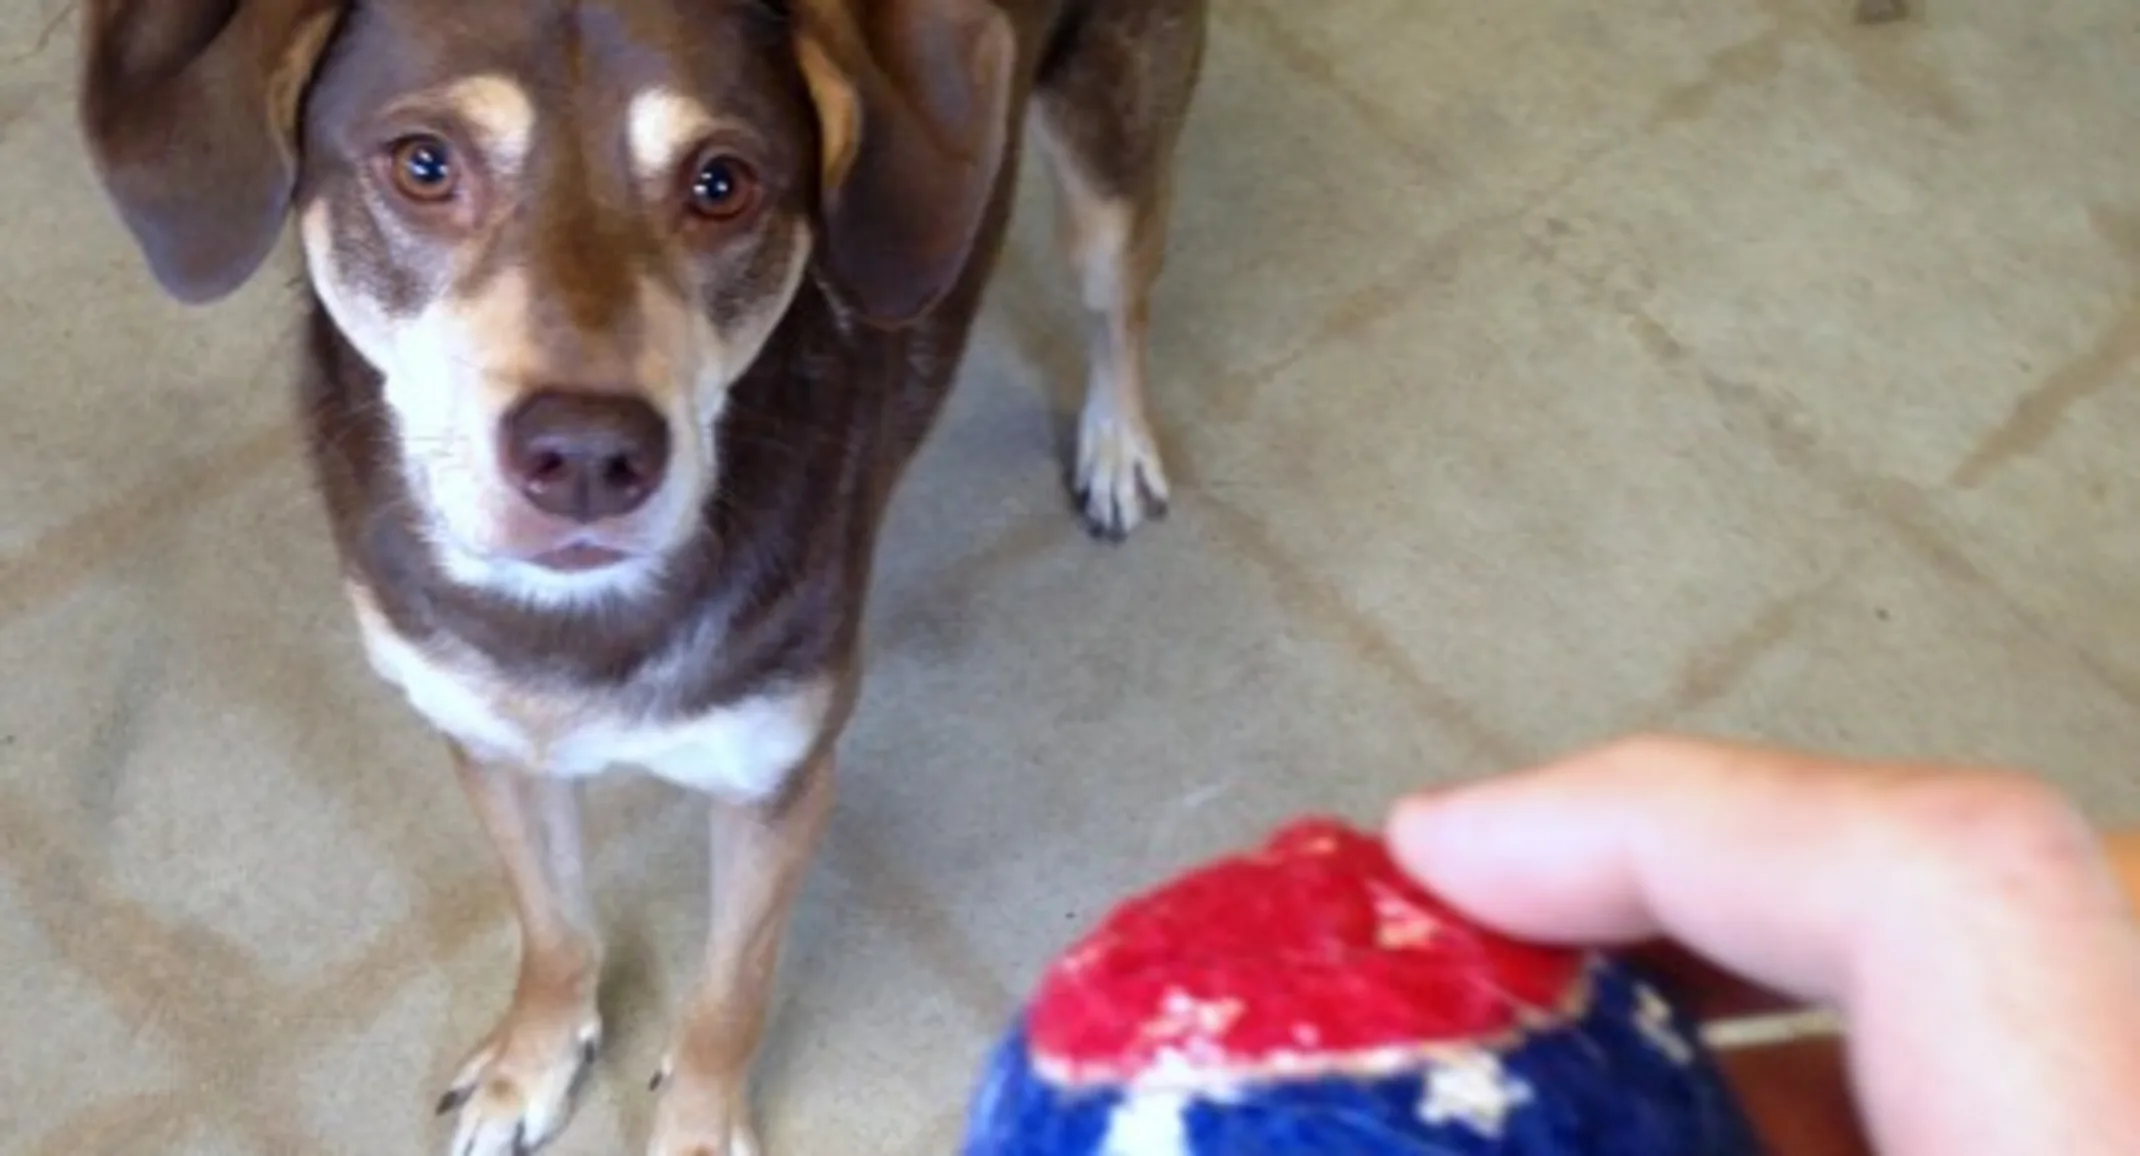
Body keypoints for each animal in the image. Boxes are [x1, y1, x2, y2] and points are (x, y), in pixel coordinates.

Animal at [75, 0, 1206, 1147]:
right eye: (423, 165)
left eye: (722, 181)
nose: (586, 455)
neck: (570, 618)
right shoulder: (487, 740)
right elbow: (552, 927)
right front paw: (529, 1062)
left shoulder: (775, 782)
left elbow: (726, 998)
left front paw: (696, 1125)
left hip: (1112, 140)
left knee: (1119, 296)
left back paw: (1117, 446)